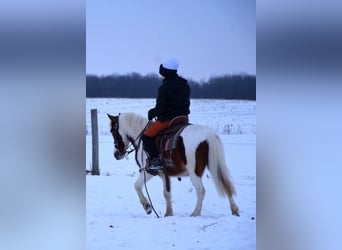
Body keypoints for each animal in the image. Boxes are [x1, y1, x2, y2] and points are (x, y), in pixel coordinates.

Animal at [106, 113, 238, 217]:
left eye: (113, 131)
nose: (116, 154)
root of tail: (208, 135)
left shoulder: (148, 171)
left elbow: (137, 186)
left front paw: (147, 207)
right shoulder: (164, 175)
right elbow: (167, 193)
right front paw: (168, 213)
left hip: (194, 172)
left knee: (201, 190)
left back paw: (195, 213)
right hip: (215, 166)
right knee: (226, 185)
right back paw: (234, 210)